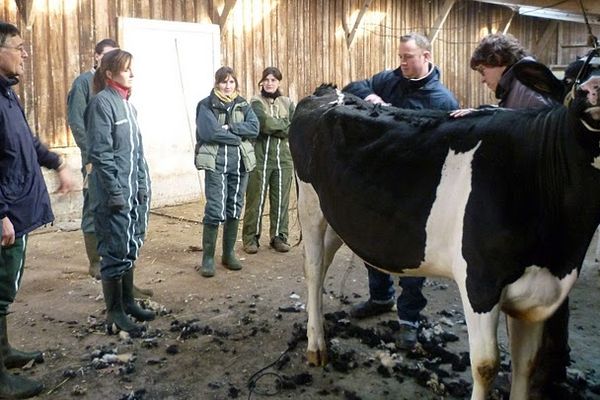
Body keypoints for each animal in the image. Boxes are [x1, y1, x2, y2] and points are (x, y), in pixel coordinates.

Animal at [290, 70, 600, 398]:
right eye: (575, 76)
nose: (593, 88)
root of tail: (327, 92)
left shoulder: (536, 294)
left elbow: (526, 363)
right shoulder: (479, 282)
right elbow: (486, 365)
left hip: (338, 214)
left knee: (323, 262)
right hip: (309, 204)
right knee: (313, 268)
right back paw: (316, 347)